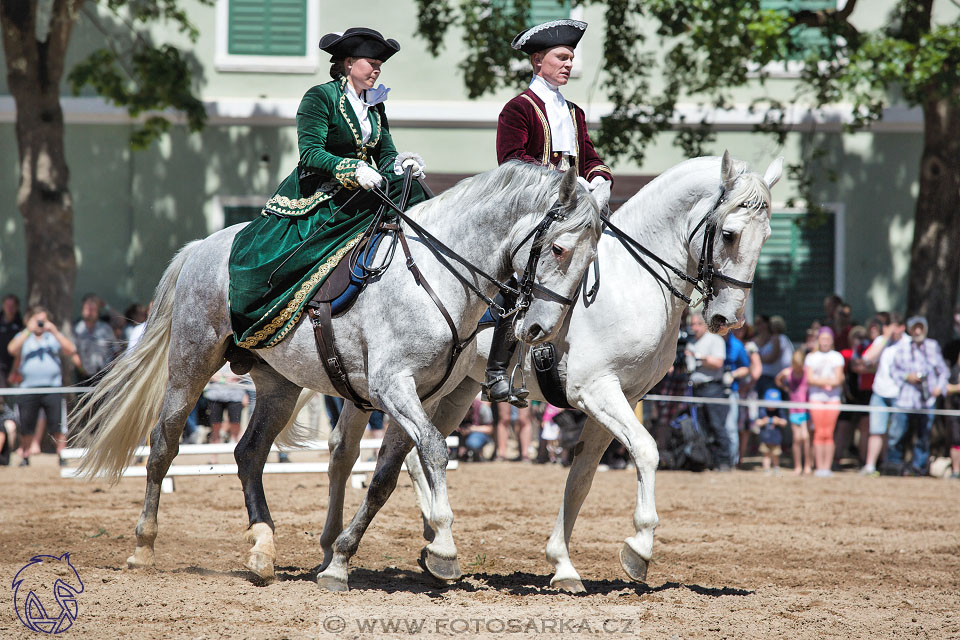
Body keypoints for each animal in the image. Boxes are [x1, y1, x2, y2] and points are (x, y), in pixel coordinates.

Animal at [274, 150, 784, 592]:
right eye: (729, 234)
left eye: (767, 236)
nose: (727, 318)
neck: (634, 283)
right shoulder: (596, 391)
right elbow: (647, 450)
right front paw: (638, 548)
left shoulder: (624, 398)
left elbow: (582, 478)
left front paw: (564, 565)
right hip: (392, 387)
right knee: (352, 452)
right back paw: (355, 548)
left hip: (452, 390)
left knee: (396, 455)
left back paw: (420, 544)